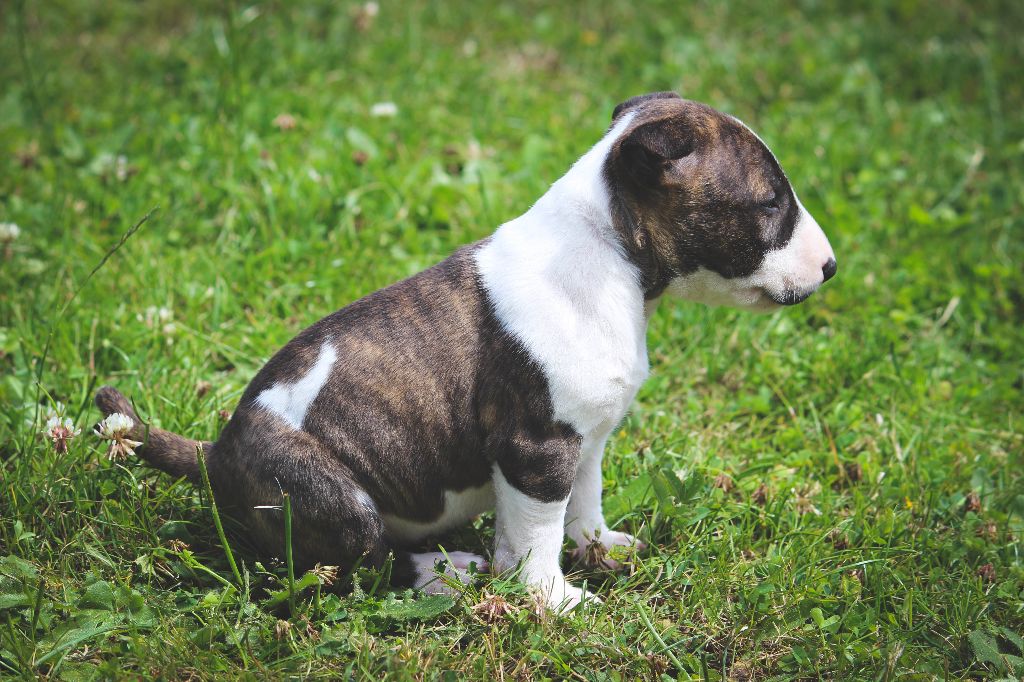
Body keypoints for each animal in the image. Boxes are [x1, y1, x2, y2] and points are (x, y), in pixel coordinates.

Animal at [96, 92, 836, 610]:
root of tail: (216, 453)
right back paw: (442, 572)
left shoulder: (585, 438)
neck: (610, 251)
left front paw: (599, 549)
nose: (830, 268)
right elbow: (536, 536)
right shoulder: (536, 449)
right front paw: (552, 600)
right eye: (770, 202)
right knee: (354, 569)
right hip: (333, 498)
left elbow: (583, 502)